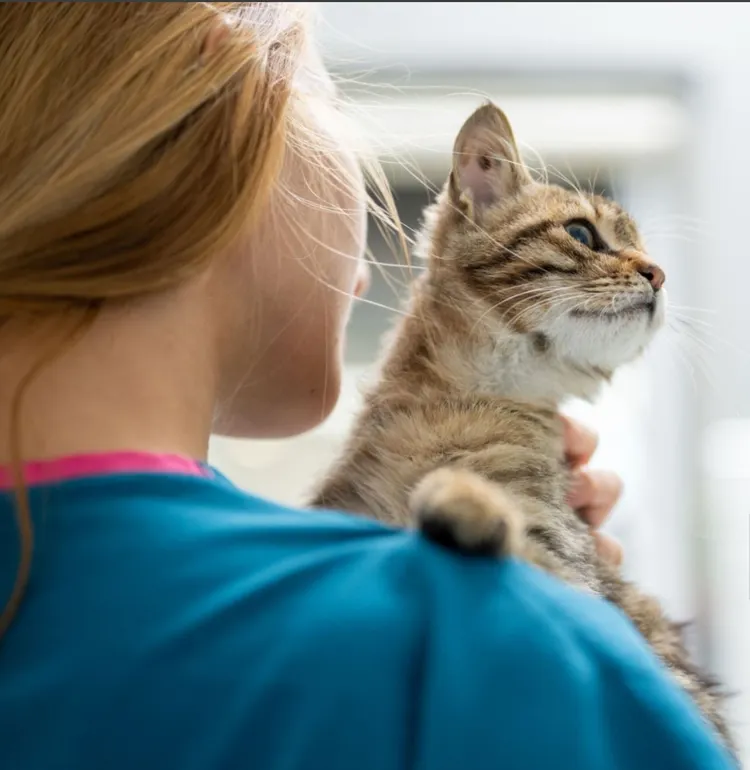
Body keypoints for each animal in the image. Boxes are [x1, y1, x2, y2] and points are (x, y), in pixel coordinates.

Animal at [312, 100, 736, 752]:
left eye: (645, 248)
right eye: (582, 234)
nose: (660, 274)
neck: (460, 403)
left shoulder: (567, 571)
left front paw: (463, 504)